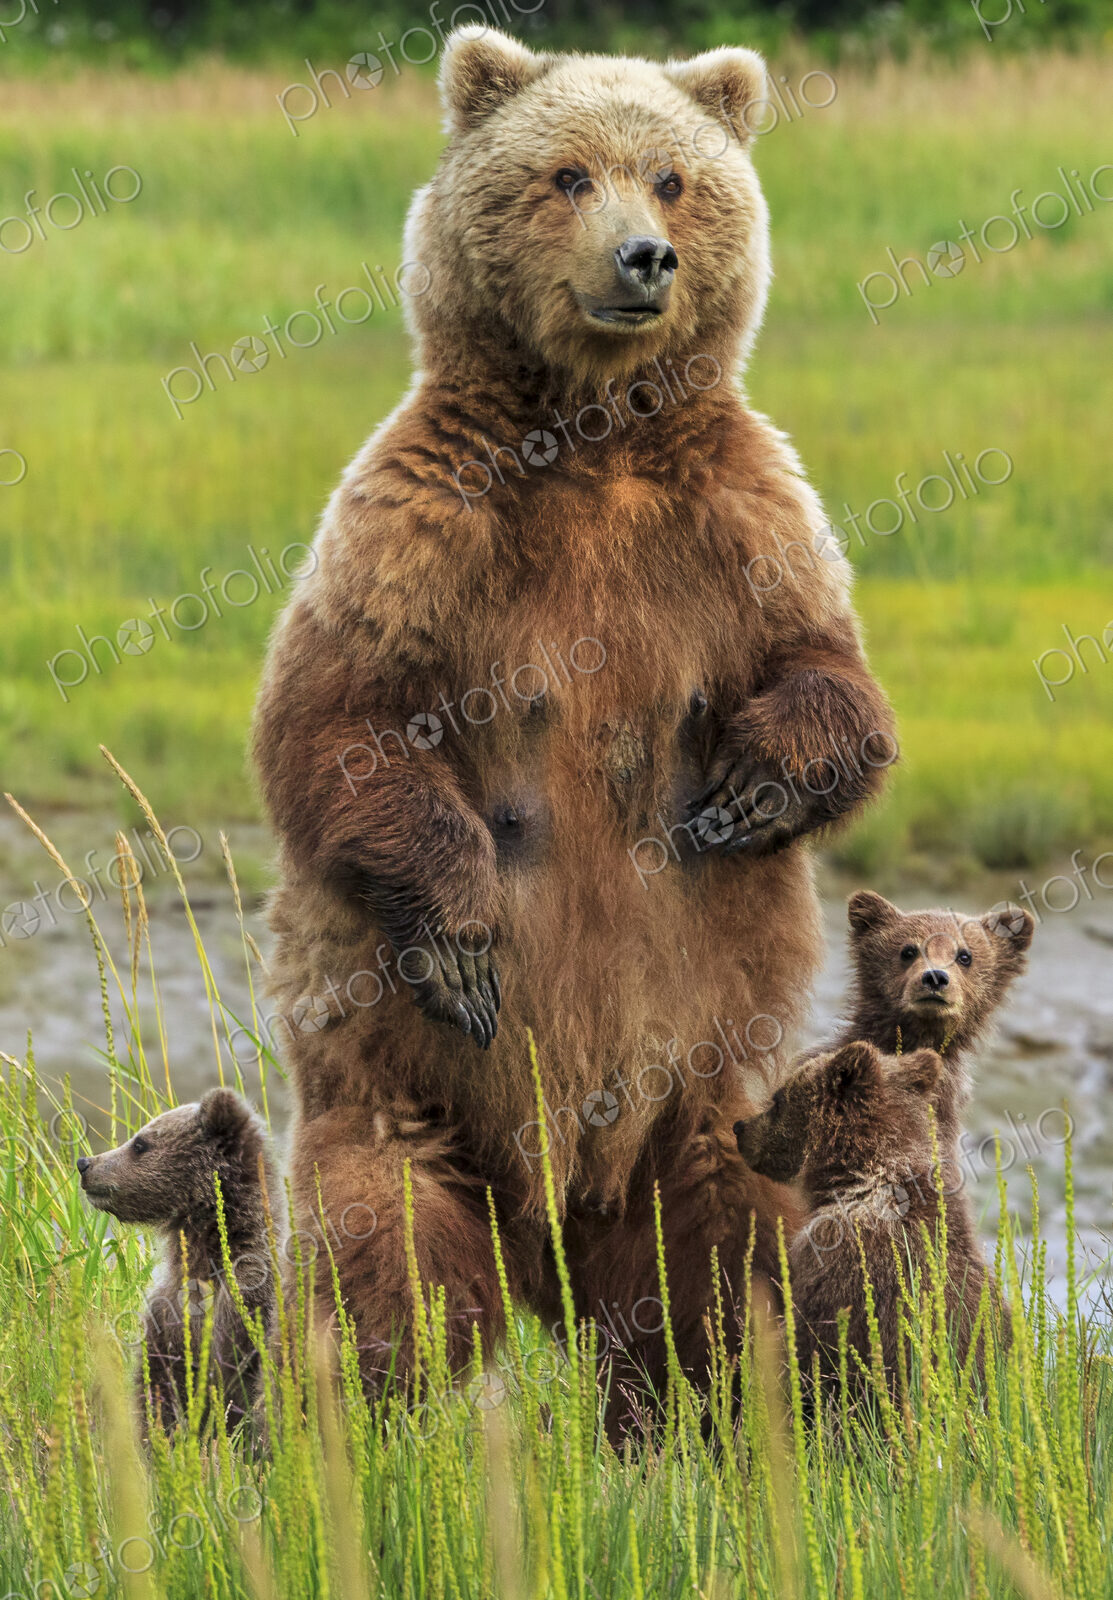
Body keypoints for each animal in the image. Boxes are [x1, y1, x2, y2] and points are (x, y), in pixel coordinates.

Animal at [251, 27, 895, 1420]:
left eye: (672, 178)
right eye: (565, 175)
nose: (642, 259)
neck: (592, 435)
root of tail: (553, 1219)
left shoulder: (743, 519)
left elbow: (832, 678)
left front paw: (746, 793)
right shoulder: (421, 521)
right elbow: (337, 721)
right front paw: (462, 938)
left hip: (706, 1106)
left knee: (727, 1270)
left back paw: (730, 1411)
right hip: (397, 1091)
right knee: (384, 1257)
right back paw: (377, 1419)